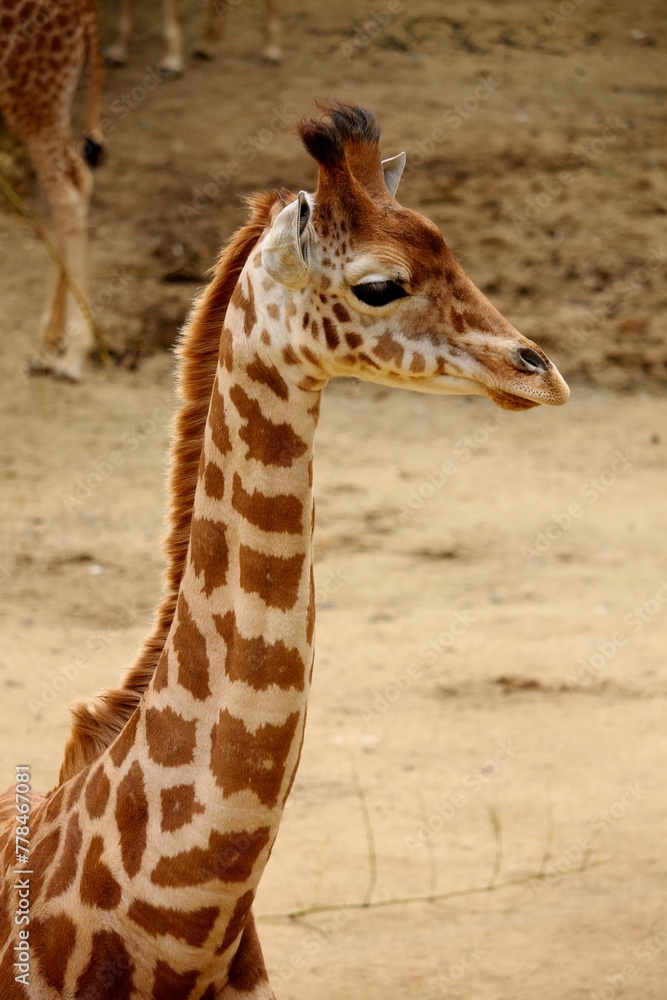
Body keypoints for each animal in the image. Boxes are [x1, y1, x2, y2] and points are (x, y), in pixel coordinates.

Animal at [0, 0, 105, 381]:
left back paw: (73, 353)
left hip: (32, 93)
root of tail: (85, 9)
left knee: (65, 194)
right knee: (78, 176)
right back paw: (48, 343)